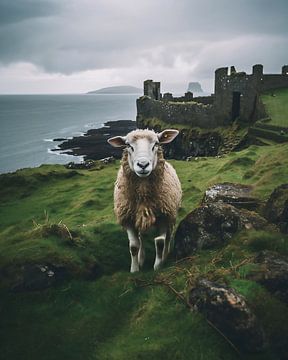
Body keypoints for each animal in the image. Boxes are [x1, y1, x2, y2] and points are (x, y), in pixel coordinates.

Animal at [107, 128, 181, 272]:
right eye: (128, 145)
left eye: (156, 144)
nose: (143, 165)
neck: (143, 194)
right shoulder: (128, 219)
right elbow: (134, 246)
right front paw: (135, 269)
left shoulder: (164, 217)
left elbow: (160, 242)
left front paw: (158, 265)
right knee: (141, 238)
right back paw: (141, 258)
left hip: (171, 216)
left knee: (168, 237)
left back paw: (166, 254)